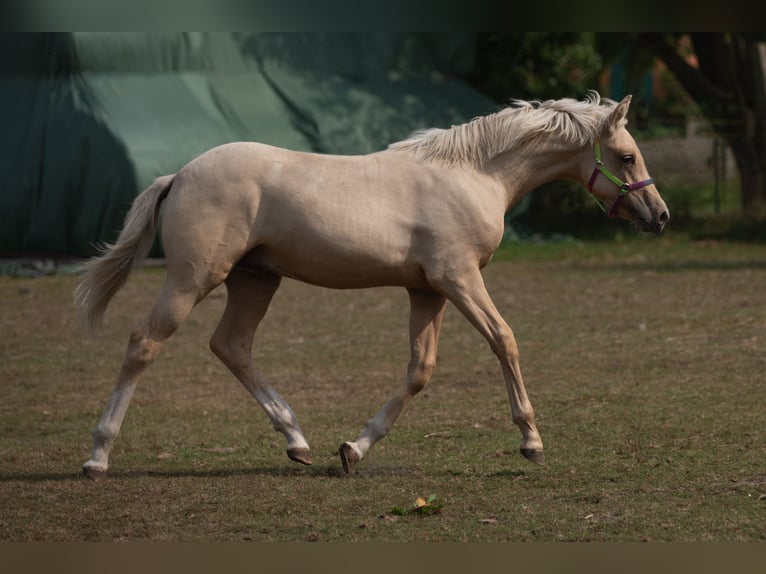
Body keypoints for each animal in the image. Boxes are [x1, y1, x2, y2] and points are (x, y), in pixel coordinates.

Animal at [75, 92, 668, 480]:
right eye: (627, 156)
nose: (660, 216)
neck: (473, 174)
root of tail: (178, 175)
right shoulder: (458, 278)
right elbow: (504, 340)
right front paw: (532, 442)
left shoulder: (428, 291)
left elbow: (419, 371)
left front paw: (352, 450)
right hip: (193, 279)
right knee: (143, 344)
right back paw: (97, 456)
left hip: (255, 280)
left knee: (231, 346)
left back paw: (298, 441)